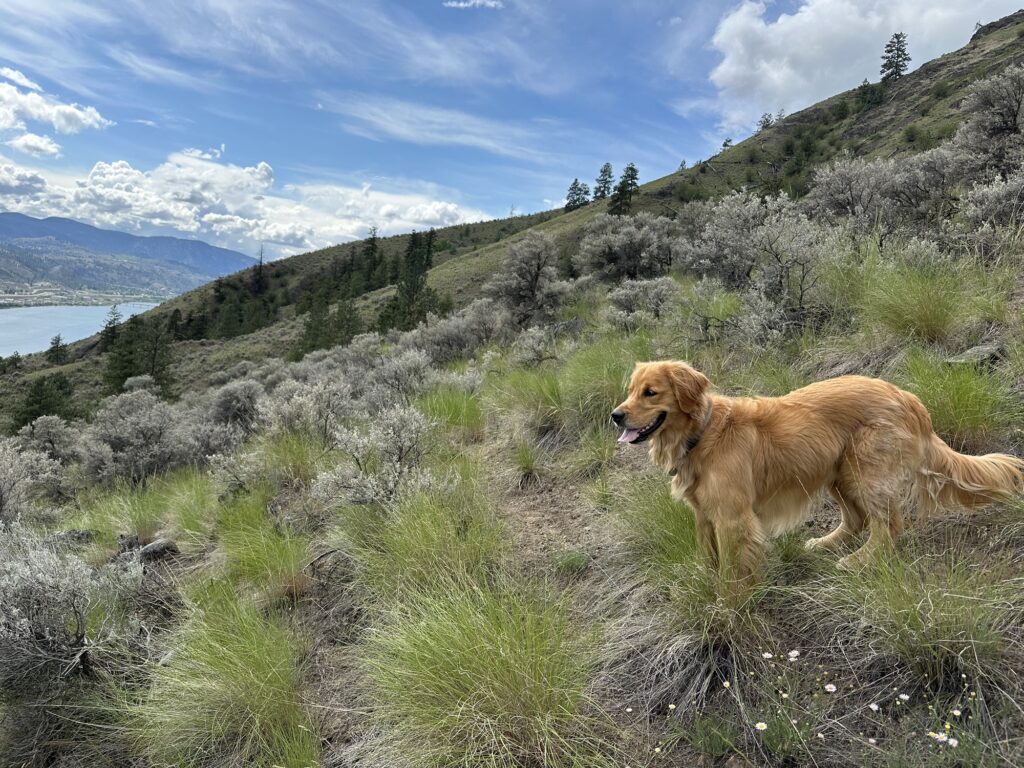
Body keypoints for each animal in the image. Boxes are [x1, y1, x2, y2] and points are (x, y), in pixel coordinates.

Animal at [610, 364, 1024, 581]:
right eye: (630, 390)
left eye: (651, 392)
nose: (616, 415)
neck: (702, 433)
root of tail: (908, 398)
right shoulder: (704, 515)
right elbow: (707, 556)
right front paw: (705, 582)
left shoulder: (733, 519)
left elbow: (731, 567)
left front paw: (727, 601)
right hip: (838, 471)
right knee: (857, 520)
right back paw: (826, 544)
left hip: (864, 468)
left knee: (887, 524)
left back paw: (861, 561)